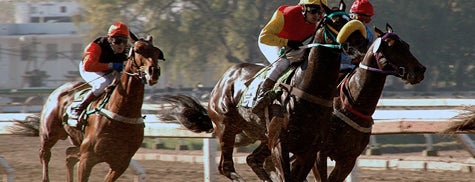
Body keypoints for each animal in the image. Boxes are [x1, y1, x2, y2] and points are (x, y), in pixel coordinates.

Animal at [38, 35, 164, 182]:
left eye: (157, 52)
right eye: (138, 50)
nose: (154, 72)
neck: (122, 112)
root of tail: (57, 91)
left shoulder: (121, 163)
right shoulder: (87, 158)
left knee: (69, 154)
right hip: (49, 134)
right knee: (45, 154)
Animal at [160, 1, 368, 181]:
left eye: (350, 19)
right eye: (335, 22)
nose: (362, 44)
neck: (308, 91)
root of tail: (224, 78)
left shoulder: (310, 150)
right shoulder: (279, 144)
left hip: (255, 133)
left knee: (252, 160)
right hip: (226, 126)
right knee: (226, 166)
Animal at [312, 24, 428, 182]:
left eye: (406, 45)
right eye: (392, 46)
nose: (419, 70)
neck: (351, 105)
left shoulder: (348, 159)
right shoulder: (318, 153)